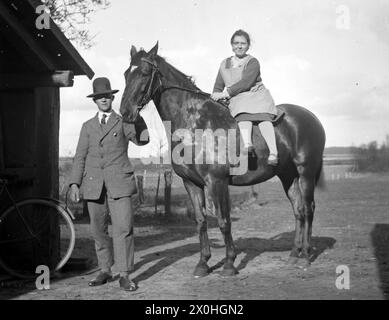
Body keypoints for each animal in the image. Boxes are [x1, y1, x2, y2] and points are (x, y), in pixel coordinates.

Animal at [119, 43, 326, 278]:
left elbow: (223, 221)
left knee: (308, 209)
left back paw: (306, 256)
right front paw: (203, 263)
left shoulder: (217, 182)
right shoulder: (192, 183)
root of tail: (311, 117)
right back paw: (293, 254)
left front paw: (229, 264)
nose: (125, 112)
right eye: (126, 74)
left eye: (145, 73)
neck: (195, 124)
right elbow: (201, 221)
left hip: (306, 173)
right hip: (287, 176)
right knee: (298, 211)